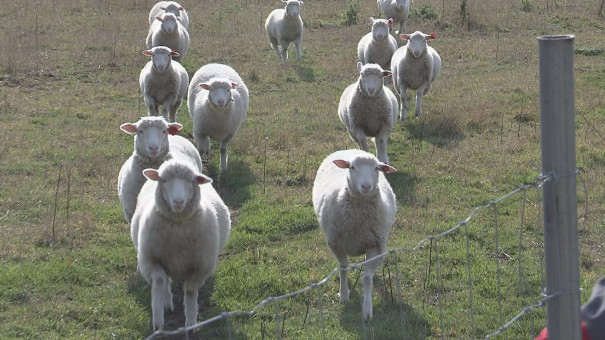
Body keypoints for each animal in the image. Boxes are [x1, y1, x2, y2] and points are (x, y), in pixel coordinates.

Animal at [132, 159, 231, 330]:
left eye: (191, 181)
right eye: (164, 180)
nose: (178, 202)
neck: (178, 228)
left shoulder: (198, 266)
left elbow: (190, 291)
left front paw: (190, 323)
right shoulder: (150, 260)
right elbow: (159, 282)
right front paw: (158, 321)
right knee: (165, 281)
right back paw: (167, 302)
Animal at [312, 148, 396, 318]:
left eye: (376, 168)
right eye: (352, 167)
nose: (366, 186)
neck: (358, 223)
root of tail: (350, 149)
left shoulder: (375, 245)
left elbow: (367, 278)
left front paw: (367, 309)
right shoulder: (336, 244)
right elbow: (343, 268)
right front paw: (344, 295)